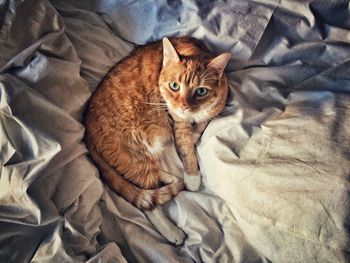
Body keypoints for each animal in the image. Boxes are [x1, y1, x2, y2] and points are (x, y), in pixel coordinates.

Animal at [84, 36, 230, 245]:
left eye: (201, 91)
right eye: (174, 86)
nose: (184, 106)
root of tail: (86, 131)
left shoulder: (210, 112)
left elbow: (201, 127)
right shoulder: (178, 123)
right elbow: (186, 148)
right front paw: (192, 177)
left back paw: (171, 178)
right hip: (138, 155)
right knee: (147, 203)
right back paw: (172, 231)